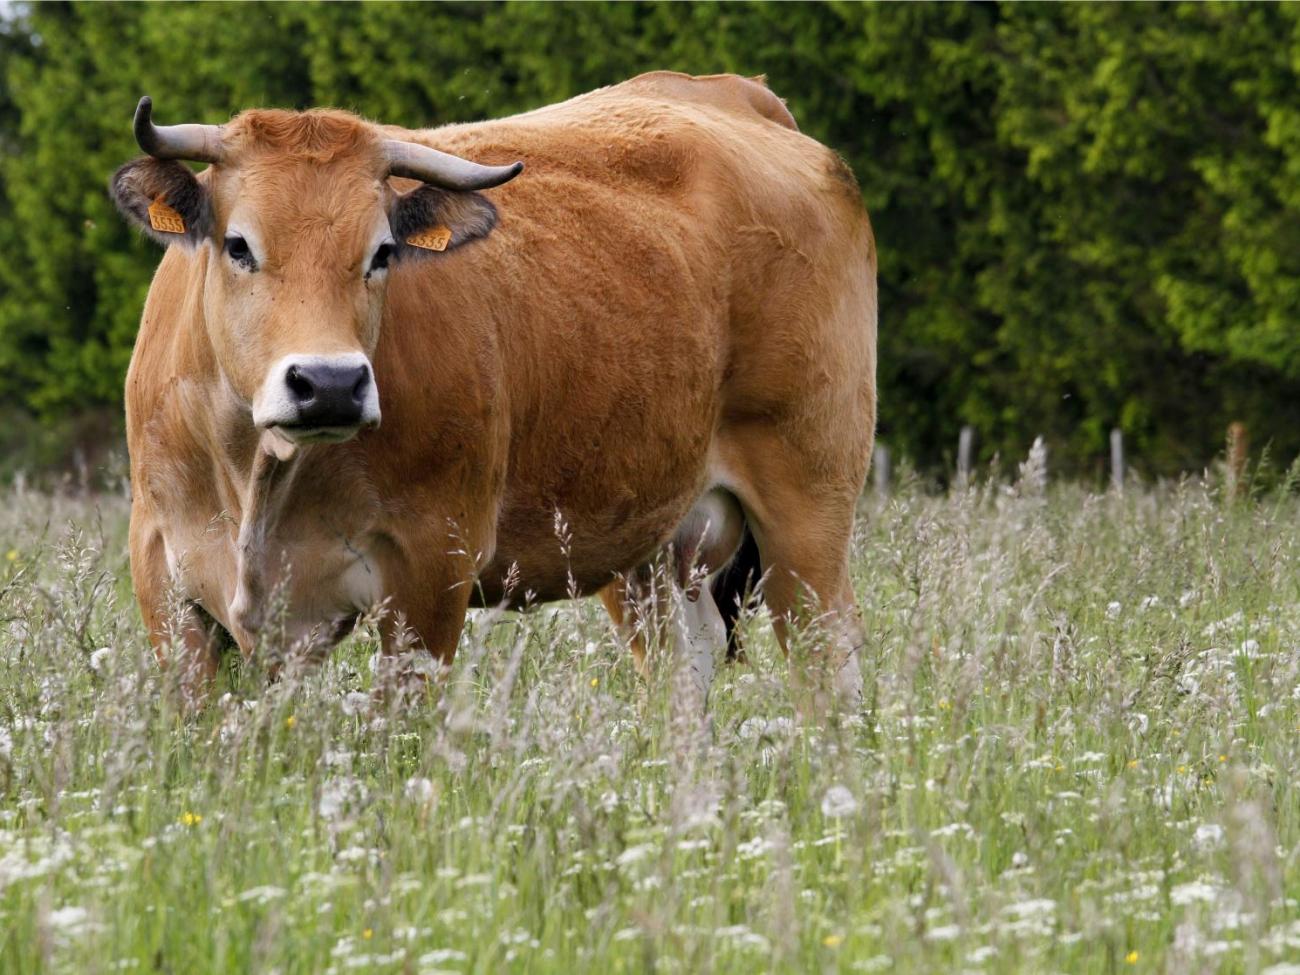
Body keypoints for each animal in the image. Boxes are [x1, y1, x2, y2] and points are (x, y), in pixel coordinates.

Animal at [109, 71, 877, 708]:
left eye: (382, 252)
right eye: (238, 245)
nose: (329, 383)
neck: (261, 473)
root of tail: (737, 93)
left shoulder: (428, 572)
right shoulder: (167, 584)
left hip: (808, 511)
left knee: (829, 667)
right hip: (651, 550)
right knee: (683, 669)